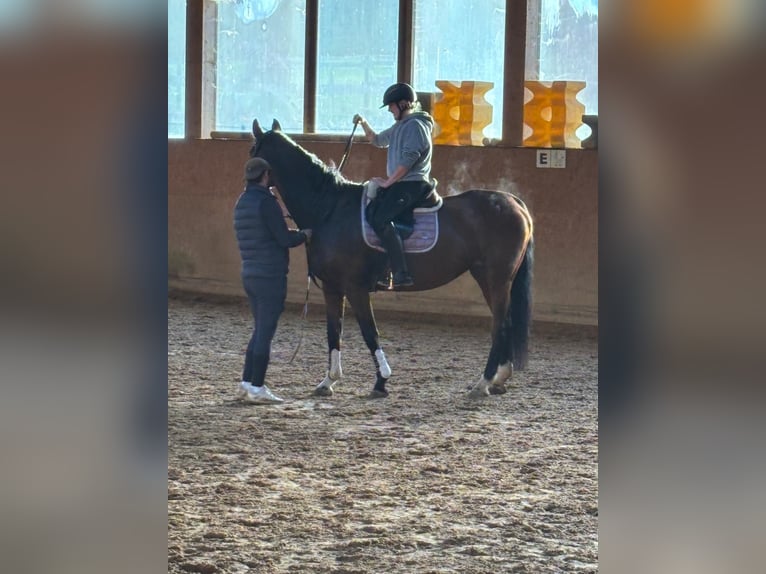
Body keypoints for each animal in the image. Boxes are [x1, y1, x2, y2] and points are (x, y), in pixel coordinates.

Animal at [250, 118, 534, 399]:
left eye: (253, 150)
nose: (248, 184)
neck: (329, 210)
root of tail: (513, 202)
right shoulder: (332, 288)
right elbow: (334, 332)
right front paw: (328, 381)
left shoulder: (356, 288)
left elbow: (370, 333)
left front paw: (381, 381)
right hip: (488, 278)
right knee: (506, 323)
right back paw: (499, 379)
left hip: (496, 279)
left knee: (499, 326)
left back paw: (483, 382)